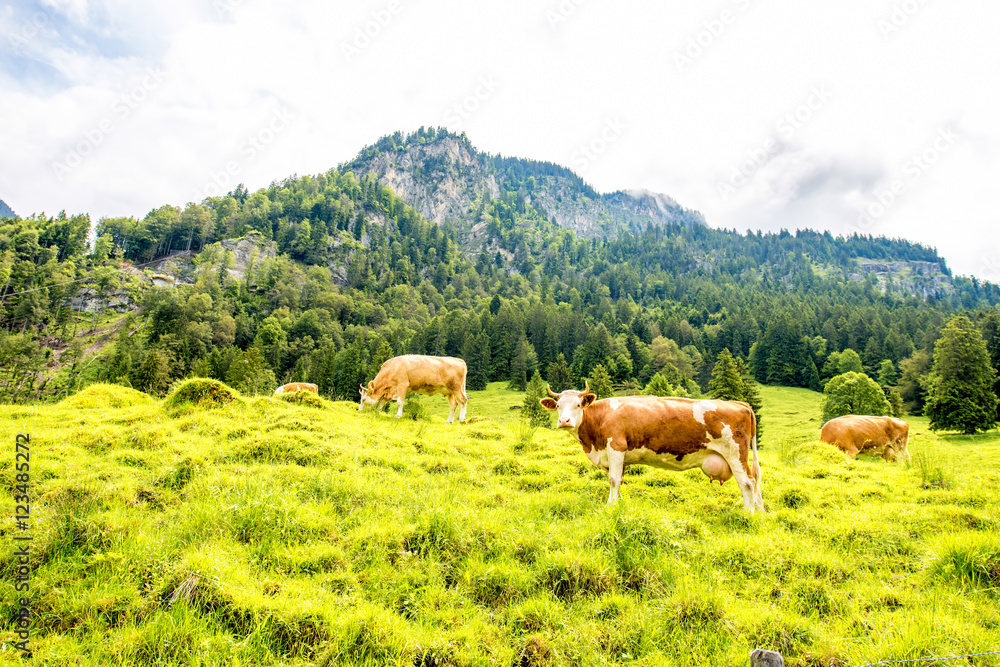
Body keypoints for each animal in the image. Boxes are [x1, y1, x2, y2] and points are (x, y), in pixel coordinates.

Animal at [540, 384, 764, 516]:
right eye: (558, 406)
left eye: (578, 405)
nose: (564, 421)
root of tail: (739, 404)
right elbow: (619, 480)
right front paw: (618, 502)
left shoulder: (616, 447)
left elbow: (612, 480)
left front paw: (610, 505)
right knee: (755, 482)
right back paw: (760, 513)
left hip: (735, 453)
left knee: (747, 483)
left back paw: (748, 513)